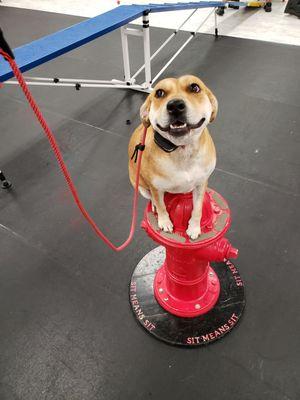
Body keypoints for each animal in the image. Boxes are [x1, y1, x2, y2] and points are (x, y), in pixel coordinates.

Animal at [127, 75, 217, 239]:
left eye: (195, 87)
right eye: (159, 93)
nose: (175, 105)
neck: (182, 150)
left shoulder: (201, 183)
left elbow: (197, 208)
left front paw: (194, 227)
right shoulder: (155, 187)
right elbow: (161, 205)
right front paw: (165, 222)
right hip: (140, 186)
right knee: (152, 199)